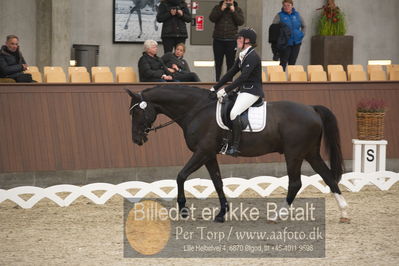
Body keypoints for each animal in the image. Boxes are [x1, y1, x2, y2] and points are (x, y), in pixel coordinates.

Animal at [126, 85, 352, 222]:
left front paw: (182, 208)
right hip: (310, 153)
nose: (136, 140)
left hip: (294, 154)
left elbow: (180, 176)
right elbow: (217, 182)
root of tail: (312, 109)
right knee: (328, 176)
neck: (196, 110)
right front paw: (221, 213)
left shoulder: (202, 152)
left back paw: (278, 214)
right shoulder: (209, 154)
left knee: (296, 183)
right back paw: (343, 211)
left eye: (137, 112)